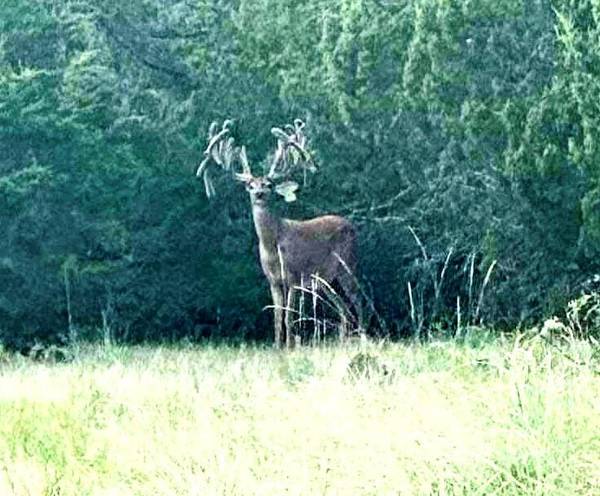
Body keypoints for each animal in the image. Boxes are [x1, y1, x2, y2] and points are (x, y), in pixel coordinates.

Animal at [197, 119, 358, 348]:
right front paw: (277, 346)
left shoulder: (293, 276)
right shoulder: (273, 280)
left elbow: (289, 316)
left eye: (269, 184)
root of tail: (351, 225)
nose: (259, 193)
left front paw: (290, 346)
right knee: (343, 308)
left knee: (357, 301)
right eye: (250, 185)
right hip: (326, 280)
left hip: (347, 265)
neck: (272, 246)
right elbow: (277, 316)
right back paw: (345, 340)